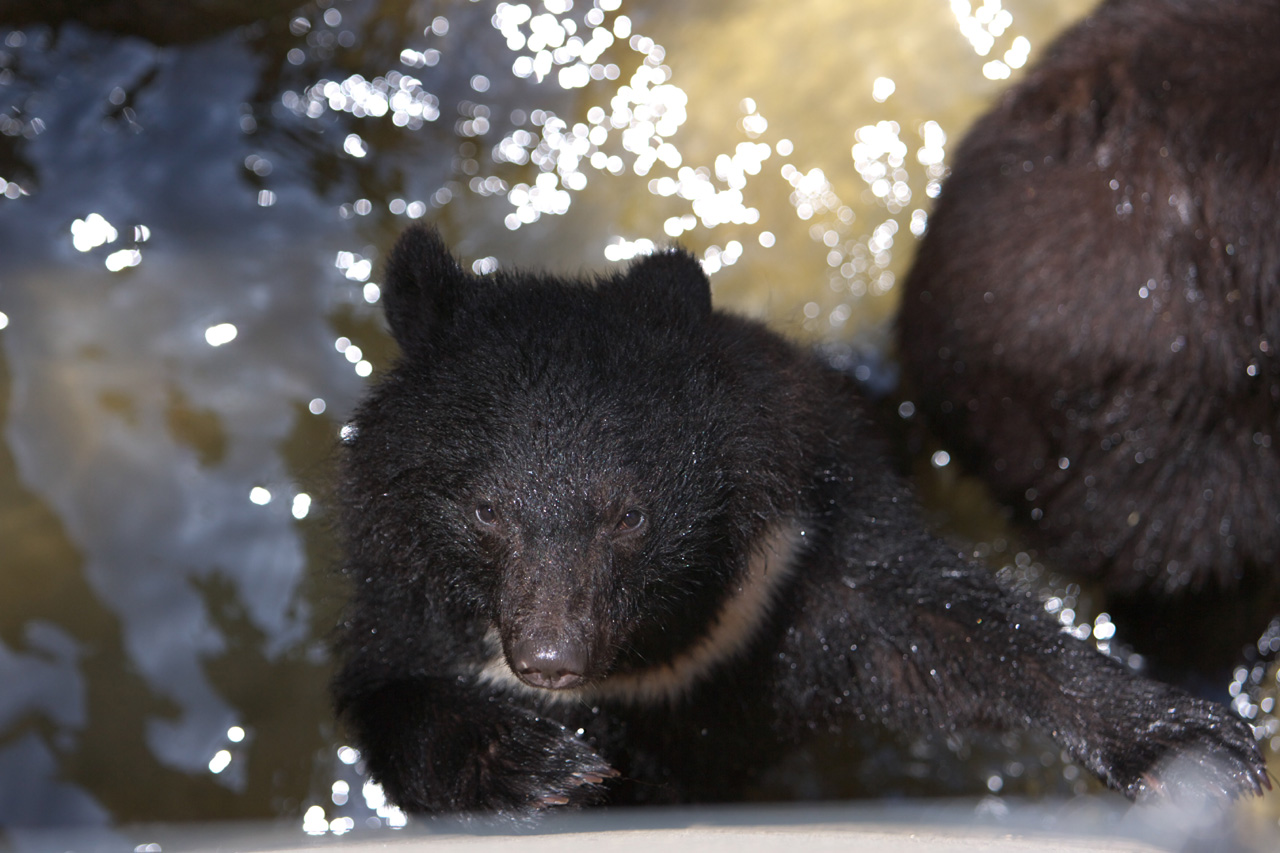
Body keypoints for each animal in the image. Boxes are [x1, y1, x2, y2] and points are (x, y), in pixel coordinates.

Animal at [330, 224, 1269, 819]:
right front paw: (543, 768)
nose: (551, 656)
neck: (657, 655)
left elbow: (955, 629)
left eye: (629, 514)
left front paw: (1194, 747)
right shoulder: (403, 601)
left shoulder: (798, 564)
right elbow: (393, 703)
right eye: (484, 508)